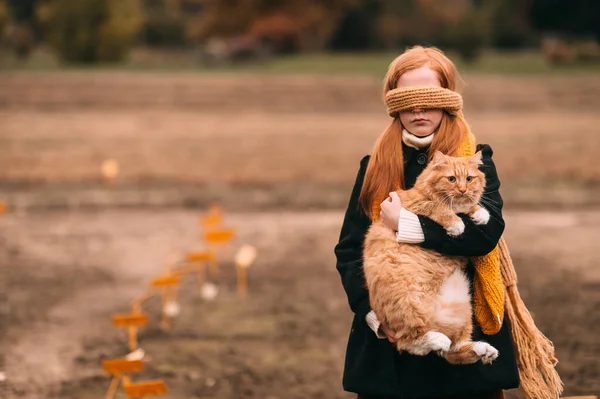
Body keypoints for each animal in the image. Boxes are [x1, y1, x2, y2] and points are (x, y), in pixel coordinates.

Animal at [364, 150, 500, 366]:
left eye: (469, 179)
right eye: (451, 179)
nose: (462, 190)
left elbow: (471, 207)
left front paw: (480, 213)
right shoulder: (421, 204)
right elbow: (439, 208)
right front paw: (456, 224)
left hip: (462, 303)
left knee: (453, 350)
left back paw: (483, 350)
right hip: (410, 301)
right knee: (409, 341)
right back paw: (437, 339)